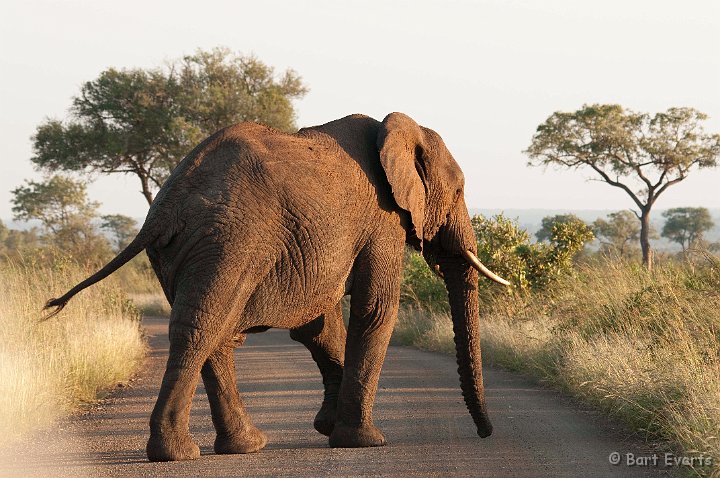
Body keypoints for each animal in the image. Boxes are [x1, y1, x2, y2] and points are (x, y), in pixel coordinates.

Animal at [45, 110, 510, 462]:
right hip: (231, 239)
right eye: (460, 191)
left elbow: (318, 325)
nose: (485, 434)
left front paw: (327, 426)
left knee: (212, 330)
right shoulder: (382, 220)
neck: (393, 128)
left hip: (186, 250)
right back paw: (177, 454)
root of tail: (164, 205)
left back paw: (243, 446)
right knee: (202, 328)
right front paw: (363, 441)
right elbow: (375, 309)